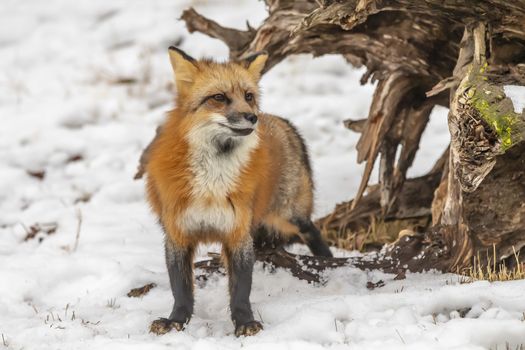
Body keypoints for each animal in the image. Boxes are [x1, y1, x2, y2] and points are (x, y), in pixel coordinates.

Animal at [141, 46, 332, 336]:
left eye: (248, 96)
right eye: (219, 97)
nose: (252, 117)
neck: (212, 182)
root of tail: (280, 119)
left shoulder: (238, 232)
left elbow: (241, 289)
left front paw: (245, 322)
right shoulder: (178, 233)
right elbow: (181, 289)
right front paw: (176, 320)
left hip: (288, 216)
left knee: (313, 232)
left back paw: (327, 264)